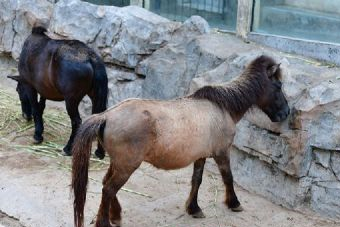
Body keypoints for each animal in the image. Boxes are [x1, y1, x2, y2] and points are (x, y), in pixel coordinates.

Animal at [7, 26, 107, 158]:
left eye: (18, 90)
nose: (25, 116)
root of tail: (91, 58)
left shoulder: (30, 87)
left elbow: (35, 108)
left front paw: (37, 135)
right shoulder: (44, 89)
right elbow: (41, 106)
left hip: (71, 100)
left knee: (76, 122)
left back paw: (68, 149)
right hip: (95, 96)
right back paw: (99, 153)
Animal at [71, 55, 290, 227]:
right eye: (278, 85)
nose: (286, 113)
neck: (222, 106)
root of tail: (106, 116)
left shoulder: (201, 156)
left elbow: (196, 181)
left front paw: (194, 208)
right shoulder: (221, 152)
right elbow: (228, 177)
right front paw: (234, 203)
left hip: (118, 163)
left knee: (106, 184)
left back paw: (115, 216)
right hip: (127, 165)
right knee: (109, 189)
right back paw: (105, 222)